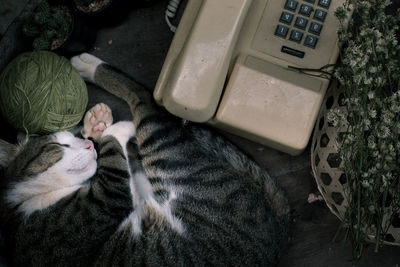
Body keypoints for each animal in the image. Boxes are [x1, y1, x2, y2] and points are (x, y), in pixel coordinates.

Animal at [0, 53, 290, 266]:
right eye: (58, 145)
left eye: (69, 138)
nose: (87, 145)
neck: (29, 200)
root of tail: (277, 230)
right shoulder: (104, 200)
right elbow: (116, 155)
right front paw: (109, 128)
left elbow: (118, 159)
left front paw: (96, 125)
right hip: (165, 153)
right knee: (146, 101)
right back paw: (90, 67)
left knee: (147, 100)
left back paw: (88, 66)